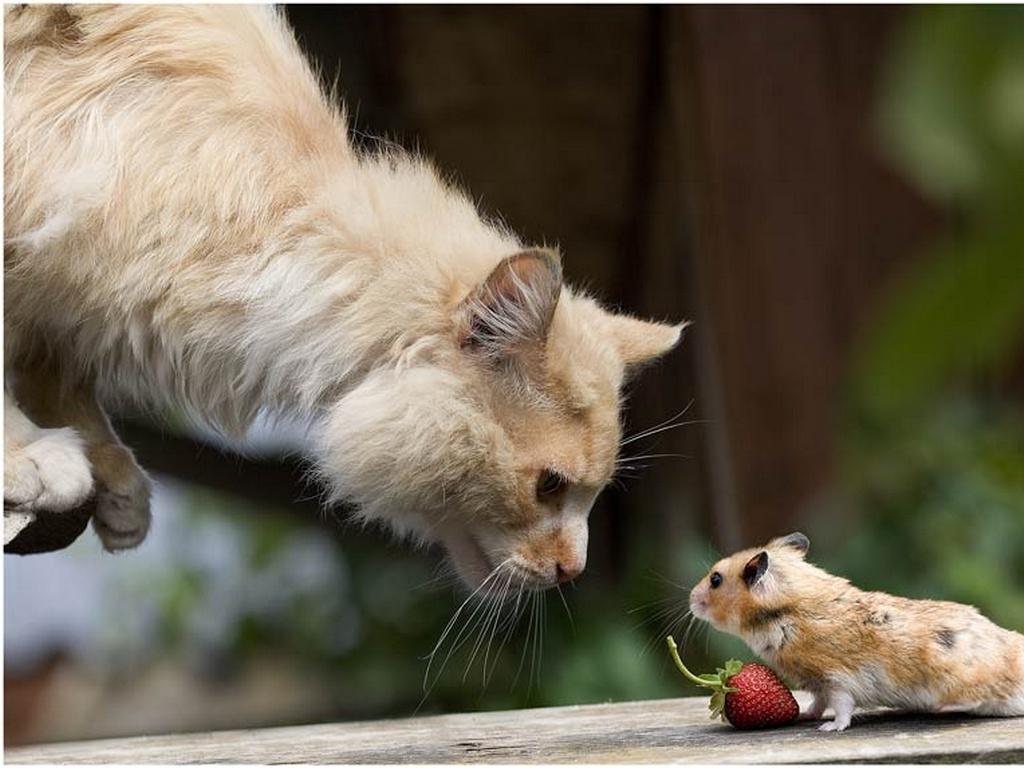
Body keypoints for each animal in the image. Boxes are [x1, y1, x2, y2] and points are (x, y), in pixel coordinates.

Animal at [4, 4, 684, 589]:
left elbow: (59, 376)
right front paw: (30, 454)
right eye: (549, 486)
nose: (573, 571)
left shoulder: (62, 306)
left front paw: (112, 474)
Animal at [688, 536, 1024, 733]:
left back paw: (942, 707)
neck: (786, 614)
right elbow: (817, 704)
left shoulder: (836, 679)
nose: (690, 599)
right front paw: (805, 717)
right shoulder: (818, 685)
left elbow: (842, 708)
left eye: (715, 580)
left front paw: (829, 729)